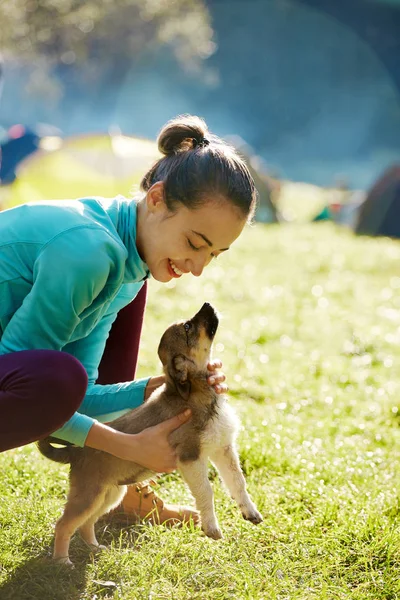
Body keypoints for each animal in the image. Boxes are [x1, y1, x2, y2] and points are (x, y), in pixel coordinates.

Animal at [38, 302, 262, 564]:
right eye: (188, 326)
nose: (207, 304)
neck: (198, 392)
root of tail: (75, 451)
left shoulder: (222, 449)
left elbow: (238, 482)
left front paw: (250, 511)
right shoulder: (190, 457)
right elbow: (207, 491)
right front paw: (211, 527)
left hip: (109, 495)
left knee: (86, 522)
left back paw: (94, 547)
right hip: (88, 496)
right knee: (64, 524)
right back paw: (62, 562)